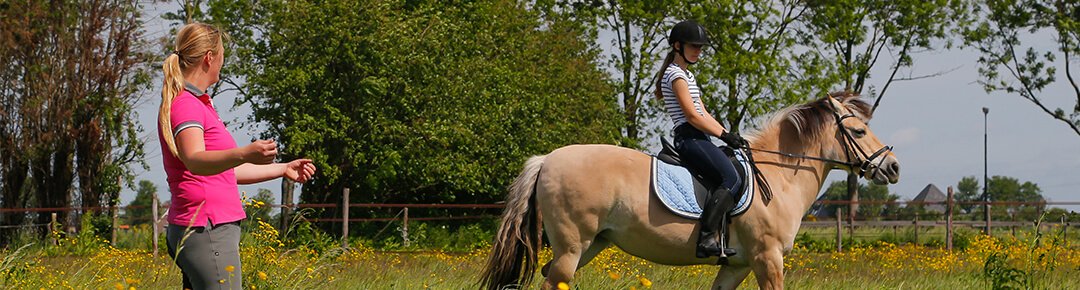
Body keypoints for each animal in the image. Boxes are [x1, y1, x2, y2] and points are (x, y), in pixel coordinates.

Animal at [483, 93, 902, 288]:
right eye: (859, 131)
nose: (893, 167)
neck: (779, 176)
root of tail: (547, 159)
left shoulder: (736, 265)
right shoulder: (767, 259)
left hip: (589, 246)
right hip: (573, 246)